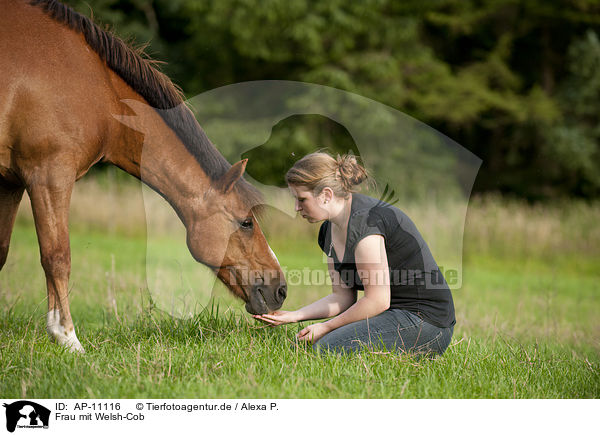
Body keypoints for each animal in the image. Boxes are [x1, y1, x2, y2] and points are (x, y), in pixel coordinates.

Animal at [0, 0, 288, 354]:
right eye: (246, 222)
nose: (281, 289)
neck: (98, 94)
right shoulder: (49, 174)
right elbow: (57, 256)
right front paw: (68, 338)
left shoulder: (10, 182)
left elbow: (2, 252)